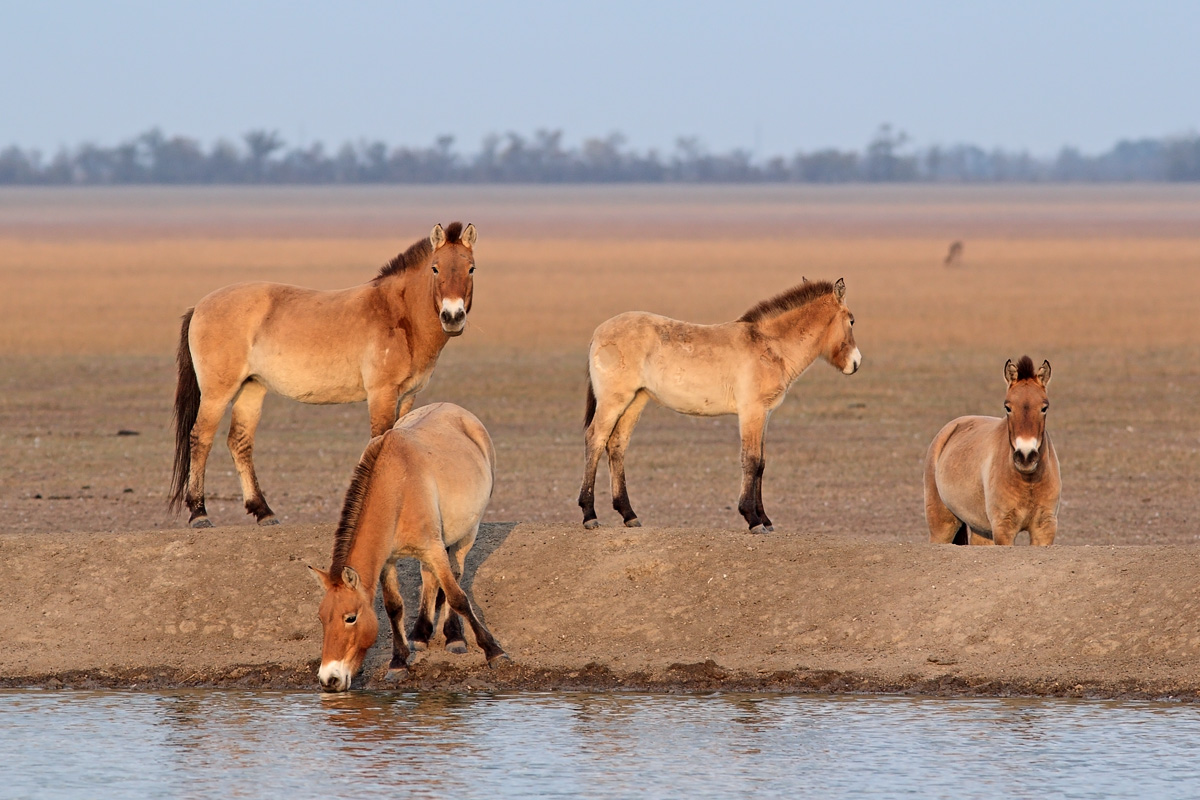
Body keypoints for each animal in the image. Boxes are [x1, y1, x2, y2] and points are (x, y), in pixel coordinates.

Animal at [170, 221, 477, 527]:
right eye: (435, 268)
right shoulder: (382, 393)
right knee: (200, 438)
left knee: (239, 442)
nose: (452, 317)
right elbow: (380, 440)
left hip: (252, 388)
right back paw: (199, 512)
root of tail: (199, 306)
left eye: (471, 268)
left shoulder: (408, 396)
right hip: (217, 392)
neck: (398, 314)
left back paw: (263, 511)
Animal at [307, 402, 508, 690]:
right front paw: (398, 663)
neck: (396, 487)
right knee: (429, 578)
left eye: (350, 617)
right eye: (321, 618)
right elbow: (394, 607)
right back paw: (421, 634)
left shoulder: (434, 548)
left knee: (455, 575)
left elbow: (458, 597)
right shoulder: (388, 561)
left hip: (466, 534)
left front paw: (494, 651)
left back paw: (454, 637)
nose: (328, 680)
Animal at [580, 278, 864, 534]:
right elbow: (751, 460)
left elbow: (761, 464)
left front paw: (765, 520)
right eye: (851, 320)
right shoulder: (751, 412)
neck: (770, 345)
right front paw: (753, 520)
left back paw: (629, 515)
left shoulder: (765, 414)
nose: (856, 363)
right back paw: (589, 515)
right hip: (614, 400)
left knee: (617, 445)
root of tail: (597, 333)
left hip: (635, 401)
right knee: (595, 439)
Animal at [926, 359, 1060, 546]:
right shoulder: (1003, 529)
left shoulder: (1044, 528)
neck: (1028, 481)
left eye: (1044, 407)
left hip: (981, 530)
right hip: (942, 525)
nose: (1025, 457)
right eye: (1007, 407)